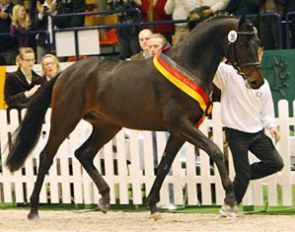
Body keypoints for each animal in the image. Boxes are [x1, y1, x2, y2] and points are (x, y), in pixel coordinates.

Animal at [5, 15, 264, 220]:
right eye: (243, 43)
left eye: (258, 43)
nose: (257, 82)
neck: (188, 66)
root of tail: (66, 72)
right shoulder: (181, 125)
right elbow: (215, 151)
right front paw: (230, 202)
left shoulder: (180, 131)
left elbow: (164, 165)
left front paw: (153, 206)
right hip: (65, 120)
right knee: (47, 156)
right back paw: (33, 210)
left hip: (107, 126)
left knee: (83, 153)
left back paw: (104, 199)